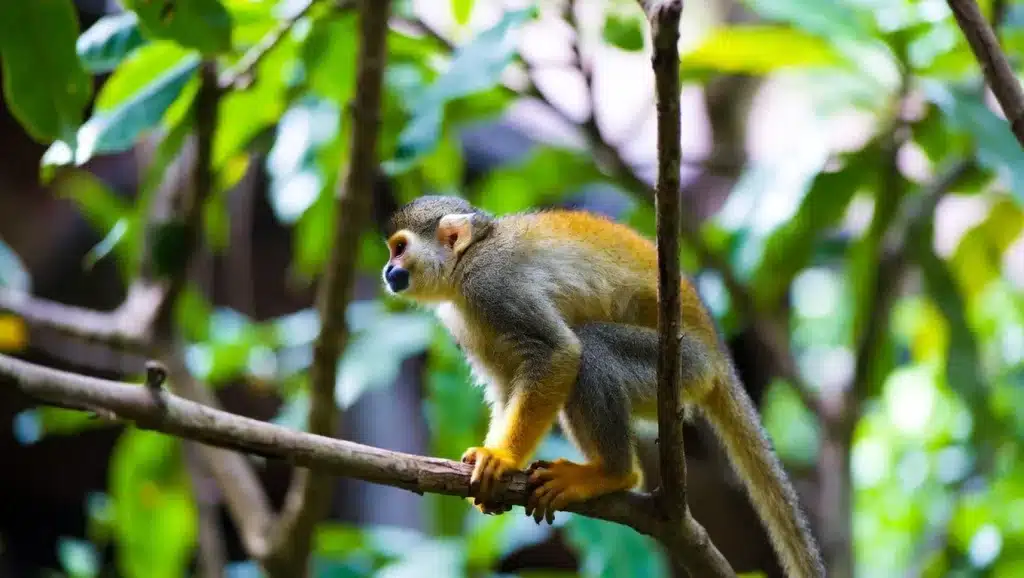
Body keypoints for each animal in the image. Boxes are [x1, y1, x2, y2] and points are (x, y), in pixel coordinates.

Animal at [380, 195, 824, 578]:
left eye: (399, 249)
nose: (387, 271)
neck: (466, 261)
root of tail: (718, 356)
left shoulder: (493, 284)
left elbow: (557, 353)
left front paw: (502, 458)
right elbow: (507, 382)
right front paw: (490, 460)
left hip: (684, 368)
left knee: (591, 351)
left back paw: (615, 475)